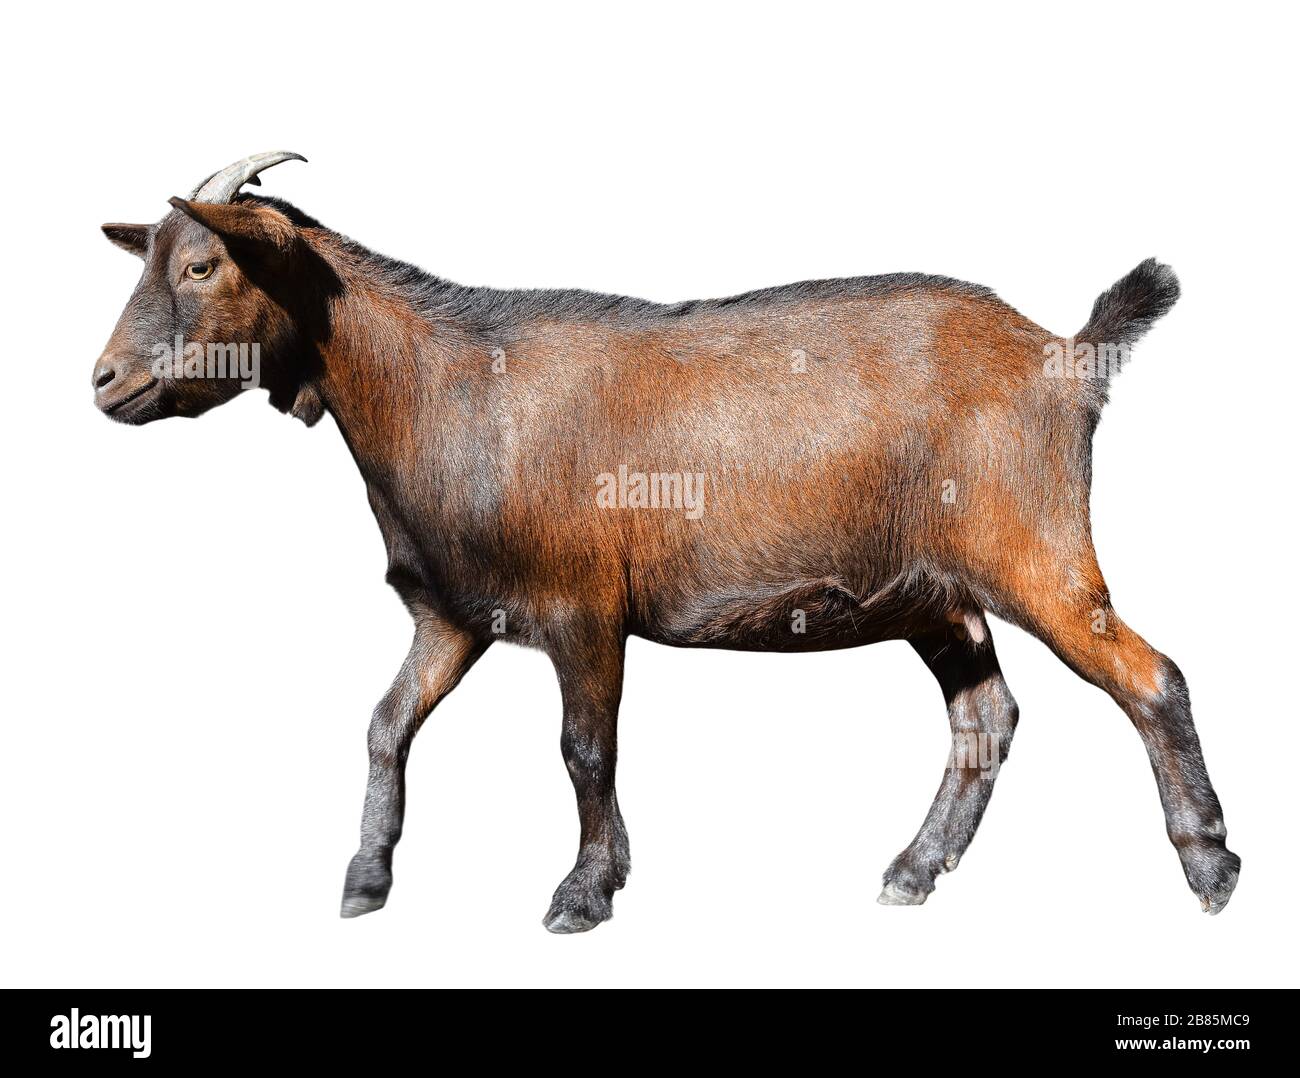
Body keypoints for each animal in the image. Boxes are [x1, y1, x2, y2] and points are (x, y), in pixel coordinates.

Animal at [94, 152, 1239, 931]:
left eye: (202, 263)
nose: (104, 381)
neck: (445, 391)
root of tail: (1069, 356)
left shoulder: (582, 606)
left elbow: (583, 748)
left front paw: (584, 892)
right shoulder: (451, 613)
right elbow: (384, 724)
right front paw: (364, 879)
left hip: (1033, 548)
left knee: (1150, 675)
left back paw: (1211, 868)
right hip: (932, 591)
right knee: (984, 716)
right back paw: (913, 871)